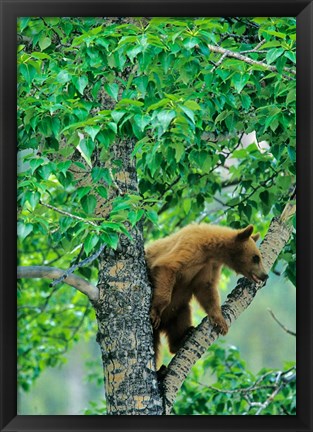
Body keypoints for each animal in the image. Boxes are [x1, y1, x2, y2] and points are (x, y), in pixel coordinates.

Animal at [145, 224, 266, 362]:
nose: (265, 275)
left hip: (177, 310)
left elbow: (207, 290)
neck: (210, 251)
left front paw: (221, 322)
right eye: (256, 258)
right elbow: (168, 267)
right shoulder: (189, 248)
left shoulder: (208, 267)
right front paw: (155, 311)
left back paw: (184, 336)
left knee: (182, 316)